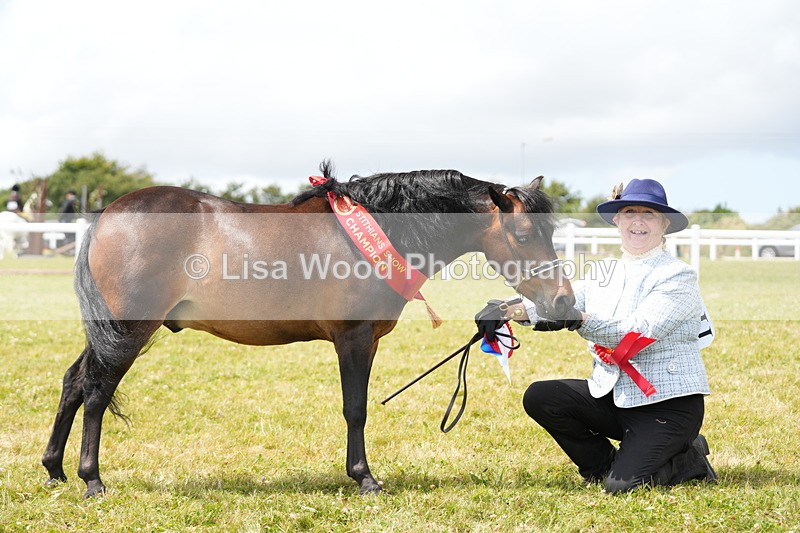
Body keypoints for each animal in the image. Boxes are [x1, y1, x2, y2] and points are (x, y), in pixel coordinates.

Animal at [41, 161, 575, 497]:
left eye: (552, 232)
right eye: (523, 235)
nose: (565, 302)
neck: (381, 230)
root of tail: (106, 215)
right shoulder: (353, 338)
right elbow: (356, 409)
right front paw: (364, 478)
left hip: (109, 332)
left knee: (73, 383)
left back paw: (54, 470)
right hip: (128, 329)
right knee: (96, 391)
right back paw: (92, 479)